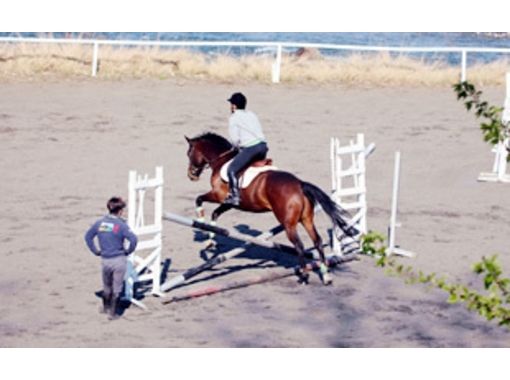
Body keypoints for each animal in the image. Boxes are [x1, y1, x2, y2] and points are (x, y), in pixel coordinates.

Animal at [184, 132, 358, 284]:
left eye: (189, 153)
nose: (191, 175)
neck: (222, 160)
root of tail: (300, 184)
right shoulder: (229, 203)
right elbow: (215, 214)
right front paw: (210, 241)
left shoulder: (218, 195)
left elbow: (199, 200)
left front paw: (201, 224)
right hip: (306, 219)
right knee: (317, 241)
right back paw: (326, 276)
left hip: (288, 224)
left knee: (299, 246)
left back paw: (304, 276)